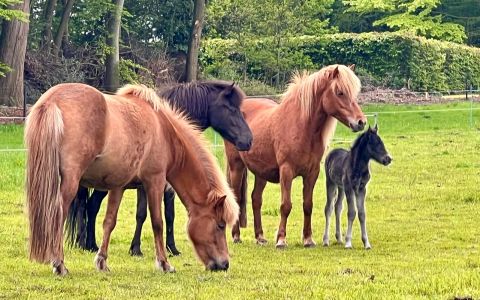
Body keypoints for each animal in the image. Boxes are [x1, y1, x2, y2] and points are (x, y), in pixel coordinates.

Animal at [24, 83, 238, 276]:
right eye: (220, 225)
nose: (224, 264)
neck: (163, 131)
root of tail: (51, 101)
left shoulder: (118, 186)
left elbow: (109, 222)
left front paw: (102, 261)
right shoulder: (155, 182)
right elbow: (157, 222)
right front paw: (164, 263)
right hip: (70, 182)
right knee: (58, 215)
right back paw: (59, 264)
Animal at [69, 81, 255, 256]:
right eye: (231, 108)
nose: (248, 140)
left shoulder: (167, 186)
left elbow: (169, 214)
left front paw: (172, 248)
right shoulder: (146, 185)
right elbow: (142, 214)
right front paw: (136, 248)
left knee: (89, 206)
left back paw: (86, 243)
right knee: (89, 206)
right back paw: (88, 244)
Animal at [224, 64, 364, 247]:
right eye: (340, 92)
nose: (360, 122)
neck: (301, 126)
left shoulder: (312, 173)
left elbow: (308, 205)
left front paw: (308, 239)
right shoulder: (286, 171)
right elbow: (286, 205)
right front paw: (281, 239)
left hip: (261, 172)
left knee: (256, 199)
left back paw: (260, 237)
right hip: (236, 166)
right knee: (237, 196)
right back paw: (236, 236)